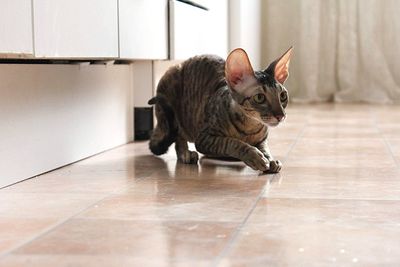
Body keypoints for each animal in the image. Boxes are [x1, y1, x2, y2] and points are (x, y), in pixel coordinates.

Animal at [148, 47, 292, 174]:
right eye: (260, 98)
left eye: (283, 96)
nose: (281, 115)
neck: (250, 126)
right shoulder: (204, 138)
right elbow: (231, 142)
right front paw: (254, 156)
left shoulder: (262, 140)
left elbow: (265, 149)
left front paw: (270, 159)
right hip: (172, 98)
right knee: (178, 134)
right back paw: (185, 154)